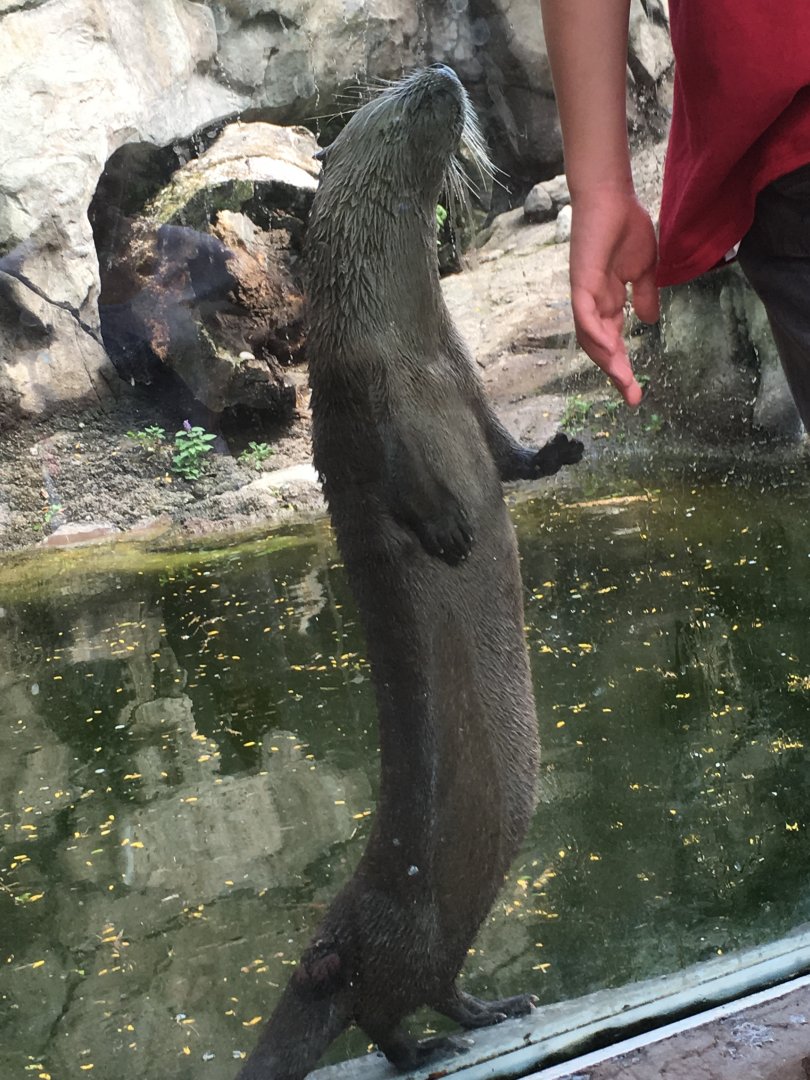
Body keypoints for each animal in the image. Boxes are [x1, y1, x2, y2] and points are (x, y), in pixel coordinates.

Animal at [235, 65, 582, 1080]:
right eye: (388, 102)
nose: (445, 71)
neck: (410, 346)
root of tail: (328, 943)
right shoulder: (363, 406)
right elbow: (403, 484)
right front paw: (452, 533)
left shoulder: (466, 382)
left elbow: (504, 453)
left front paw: (558, 453)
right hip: (404, 931)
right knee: (381, 1015)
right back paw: (430, 1045)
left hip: (453, 919)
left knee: (432, 986)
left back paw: (497, 1005)